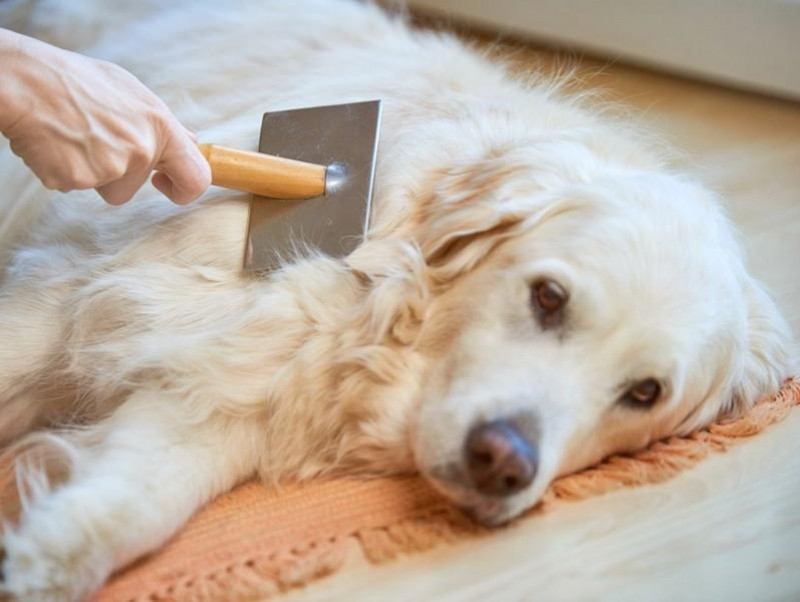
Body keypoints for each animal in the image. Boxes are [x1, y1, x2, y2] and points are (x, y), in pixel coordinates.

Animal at [0, 1, 792, 596]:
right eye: (548, 298)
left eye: (645, 392)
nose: (501, 462)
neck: (367, 306)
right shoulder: (69, 296)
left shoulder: (224, 395)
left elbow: (133, 505)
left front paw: (36, 559)